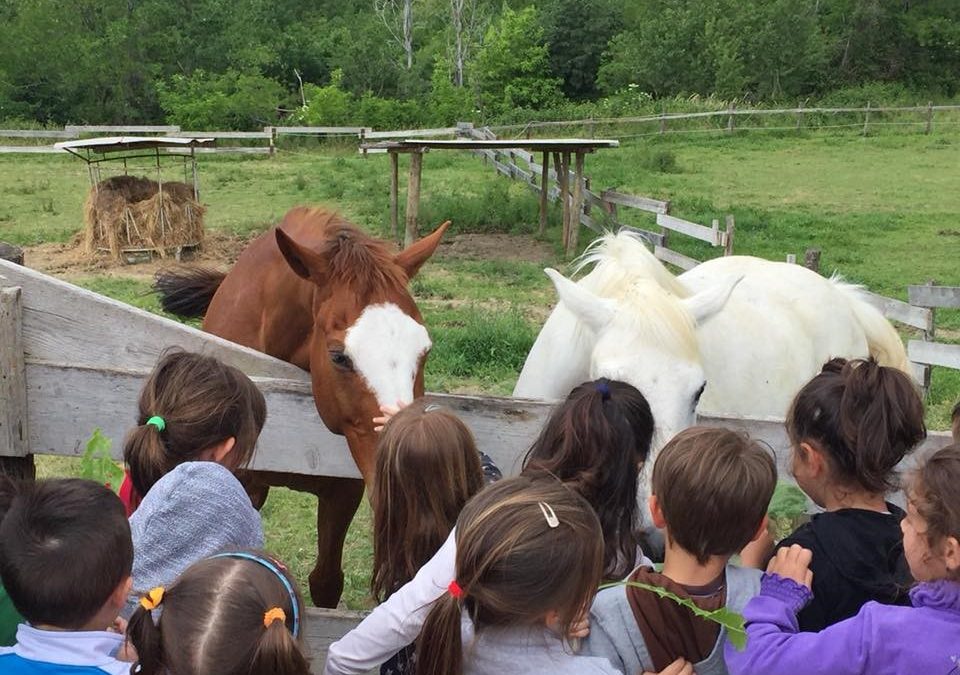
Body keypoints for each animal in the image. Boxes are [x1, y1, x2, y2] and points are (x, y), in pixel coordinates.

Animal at [156, 206, 448, 608]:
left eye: (425, 349)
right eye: (339, 356)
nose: (407, 481)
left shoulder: (343, 494)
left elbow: (326, 581)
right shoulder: (244, 486)